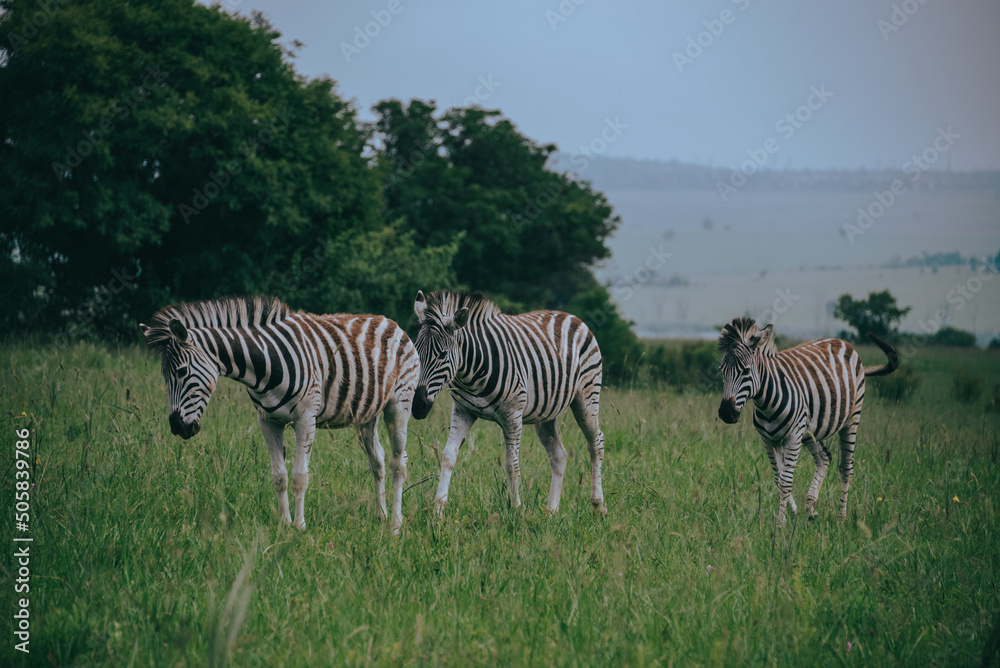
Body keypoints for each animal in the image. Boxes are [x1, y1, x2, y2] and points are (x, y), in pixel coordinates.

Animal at [139, 296, 419, 534]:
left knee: (399, 463)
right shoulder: (267, 421)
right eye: (164, 376)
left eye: (182, 371)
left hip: (399, 405)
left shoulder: (306, 419)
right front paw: (283, 525)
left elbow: (299, 477)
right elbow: (279, 477)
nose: (177, 427)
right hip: (366, 415)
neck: (263, 366)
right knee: (378, 460)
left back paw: (395, 525)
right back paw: (381, 515)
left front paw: (300, 527)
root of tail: (390, 321)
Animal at [410, 290, 606, 516]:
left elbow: (511, 464)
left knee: (596, 443)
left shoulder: (512, 414)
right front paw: (438, 509)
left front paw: (516, 510)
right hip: (546, 414)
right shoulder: (463, 411)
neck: (472, 372)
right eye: (416, 351)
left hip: (587, 398)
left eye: (442, 355)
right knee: (559, 455)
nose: (417, 406)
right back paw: (551, 512)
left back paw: (598, 505)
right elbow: (448, 455)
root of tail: (569, 315)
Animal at [716, 317, 899, 525]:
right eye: (722, 370)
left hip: (852, 418)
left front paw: (780, 523)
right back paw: (811, 510)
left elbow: (785, 482)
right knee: (824, 458)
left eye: (746, 371)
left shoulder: (794, 435)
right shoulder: (768, 439)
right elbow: (779, 478)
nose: (726, 413)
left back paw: (841, 518)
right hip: (811, 430)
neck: (766, 402)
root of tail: (842, 341)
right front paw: (792, 513)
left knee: (846, 468)